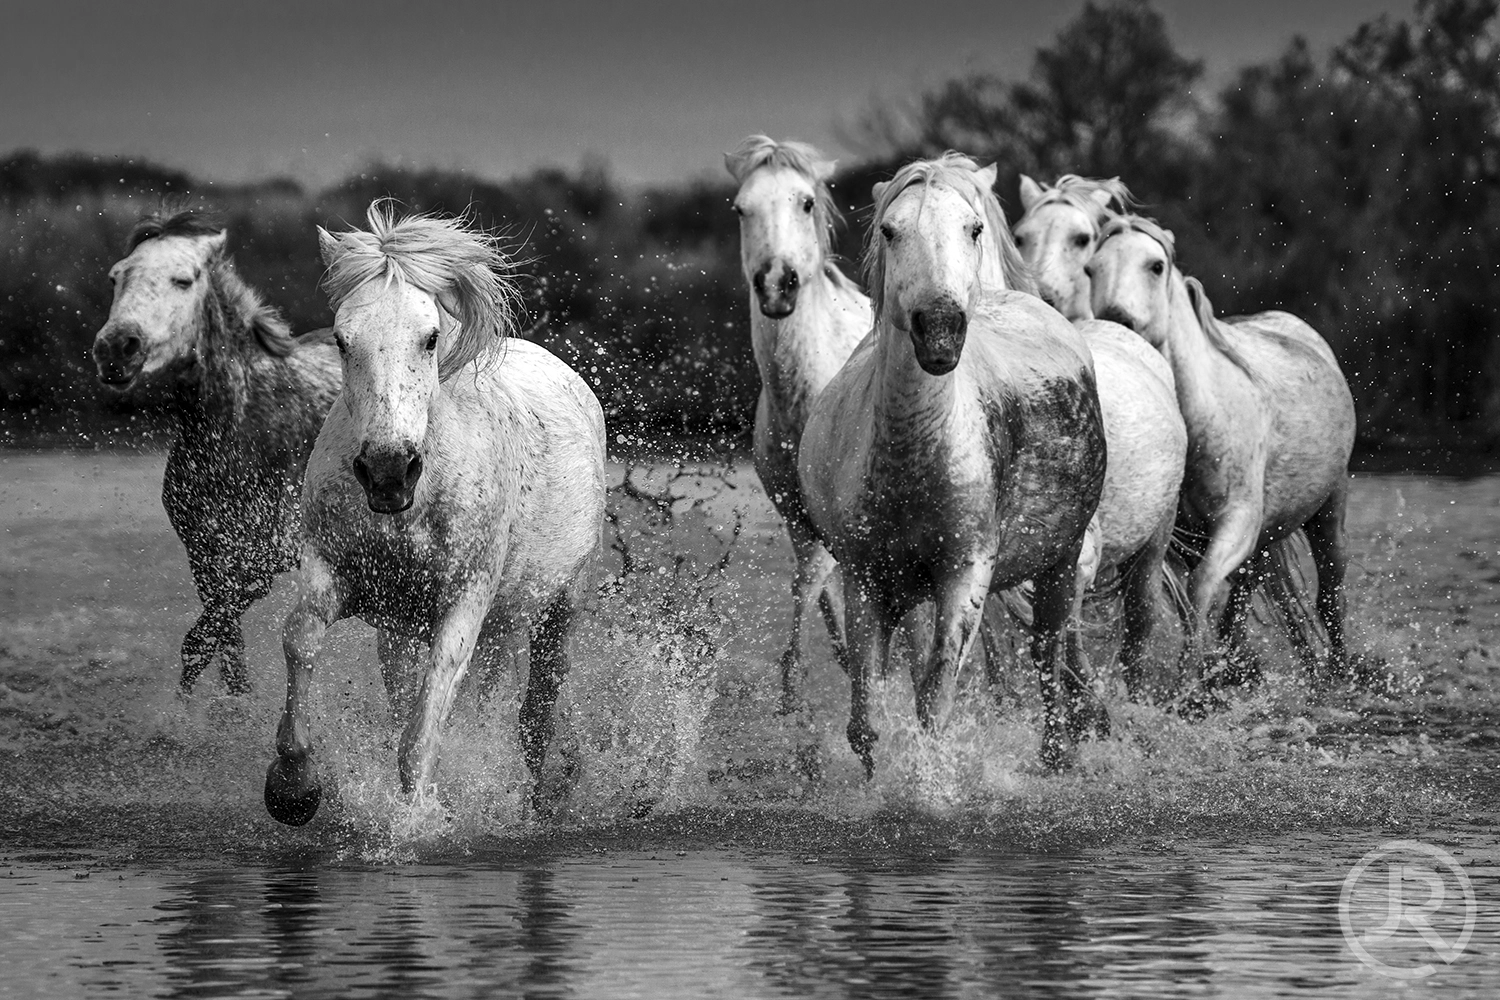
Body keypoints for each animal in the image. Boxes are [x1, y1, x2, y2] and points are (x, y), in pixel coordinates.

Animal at [91, 211, 342, 695]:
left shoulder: (263, 562)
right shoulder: (205, 557)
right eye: (116, 276)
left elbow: (200, 641)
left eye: (184, 279)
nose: (116, 347)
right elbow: (222, 651)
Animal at [263, 203, 606, 826]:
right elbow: (300, 639)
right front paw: (293, 786)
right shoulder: (336, 574)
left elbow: (422, 729)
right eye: (342, 340)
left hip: (558, 605)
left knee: (536, 712)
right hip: (430, 625)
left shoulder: (465, 603)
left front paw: (419, 818)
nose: (388, 471)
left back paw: (538, 800)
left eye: (430, 337)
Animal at [724, 135, 871, 713]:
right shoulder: (796, 515)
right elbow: (815, 589)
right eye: (741, 209)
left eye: (806, 202)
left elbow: (815, 582)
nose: (775, 285)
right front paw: (799, 687)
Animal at [798, 154, 1109, 774]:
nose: (939, 330)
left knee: (1049, 650)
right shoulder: (864, 576)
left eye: (973, 229)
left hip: (1061, 561)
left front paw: (931, 787)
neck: (916, 452)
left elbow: (934, 705)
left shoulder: (966, 573)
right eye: (890, 231)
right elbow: (866, 720)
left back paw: (1057, 756)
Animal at [1087, 215, 1355, 684]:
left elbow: (1201, 590)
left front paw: (1191, 681)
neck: (1203, 418)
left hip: (1328, 509)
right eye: (1091, 269)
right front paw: (1214, 674)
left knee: (1330, 595)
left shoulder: (1238, 522)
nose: (1118, 322)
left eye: (1155, 265)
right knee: (1249, 591)